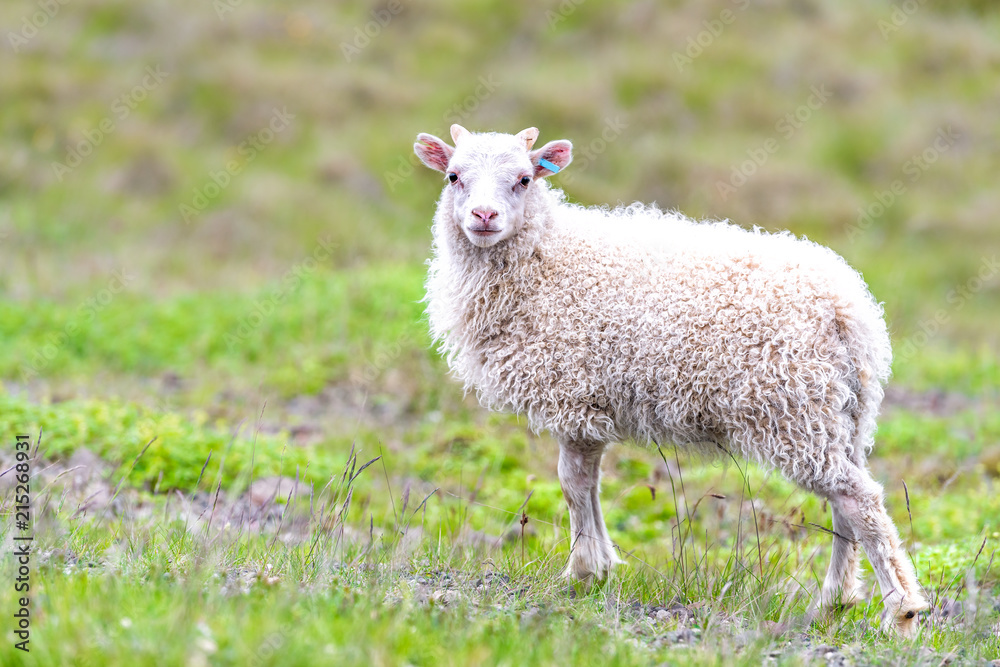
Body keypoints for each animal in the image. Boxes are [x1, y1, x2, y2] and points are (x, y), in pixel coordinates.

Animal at [413, 123, 929, 635]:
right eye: (454, 176)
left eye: (524, 179)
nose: (484, 215)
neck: (546, 257)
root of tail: (849, 309)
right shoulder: (590, 404)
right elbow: (590, 486)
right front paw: (601, 566)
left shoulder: (573, 395)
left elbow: (573, 484)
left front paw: (582, 573)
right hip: (841, 413)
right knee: (847, 499)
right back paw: (835, 601)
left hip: (794, 409)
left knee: (858, 499)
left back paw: (900, 609)